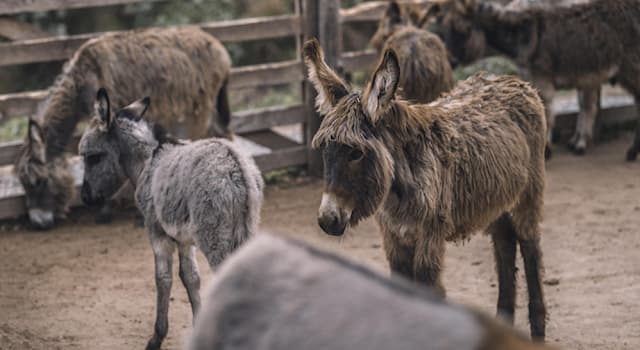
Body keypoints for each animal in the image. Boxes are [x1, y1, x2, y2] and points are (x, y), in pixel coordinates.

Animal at [79, 88, 264, 350]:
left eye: (93, 157)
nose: (85, 197)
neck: (147, 160)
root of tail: (237, 167)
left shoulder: (158, 234)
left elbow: (163, 279)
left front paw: (156, 338)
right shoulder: (184, 240)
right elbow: (190, 277)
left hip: (215, 239)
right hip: (246, 229)